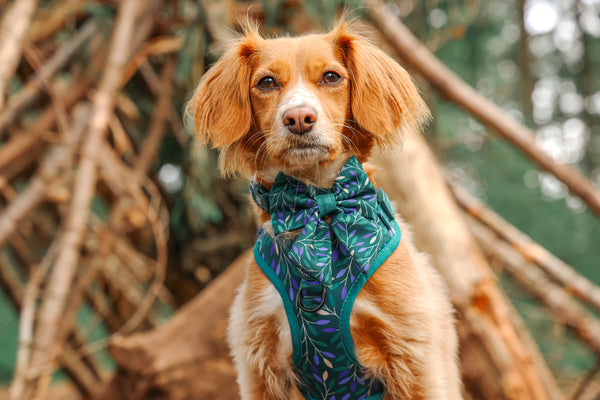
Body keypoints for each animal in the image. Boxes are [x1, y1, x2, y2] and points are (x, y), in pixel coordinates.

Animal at [190, 21, 462, 400]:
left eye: (331, 77)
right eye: (266, 82)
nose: (299, 118)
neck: (317, 206)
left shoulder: (415, 358)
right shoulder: (261, 365)